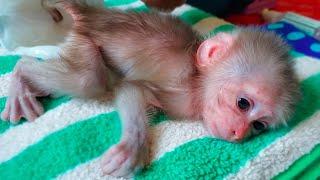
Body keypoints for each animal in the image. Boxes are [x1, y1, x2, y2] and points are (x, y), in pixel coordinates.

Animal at [0, 0, 300, 177]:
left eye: (258, 125)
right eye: (243, 103)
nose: (239, 133)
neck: (197, 79)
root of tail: (92, 13)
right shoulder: (181, 91)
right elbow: (133, 89)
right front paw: (134, 145)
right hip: (81, 39)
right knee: (89, 79)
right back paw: (21, 75)